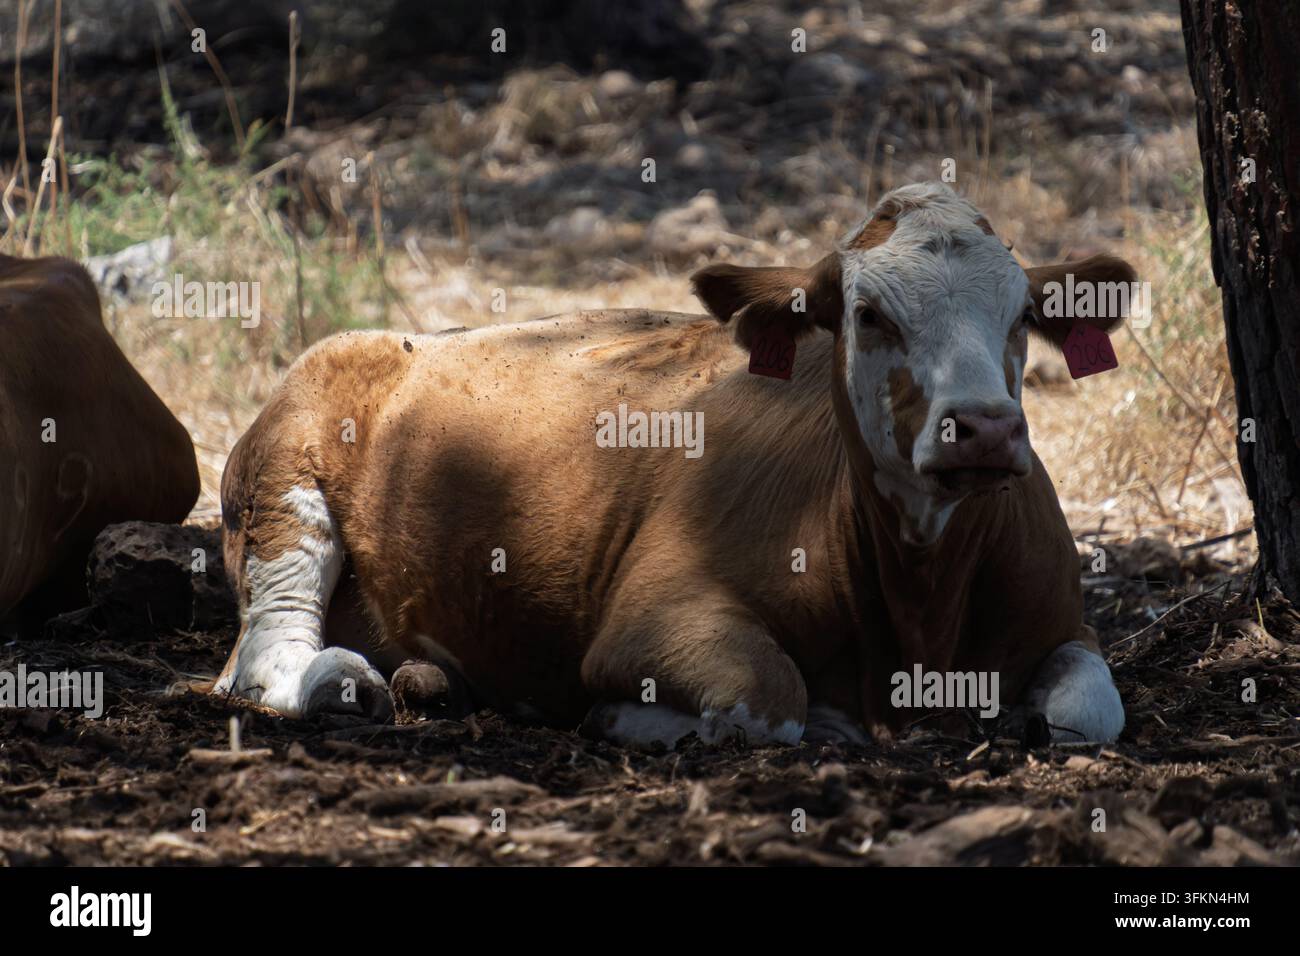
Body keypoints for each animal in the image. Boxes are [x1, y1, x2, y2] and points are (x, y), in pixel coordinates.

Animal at [211, 182, 1130, 747]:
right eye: (869, 315)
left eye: (1023, 317)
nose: (984, 429)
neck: (920, 612)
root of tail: (385, 337)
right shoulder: (655, 615)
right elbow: (769, 699)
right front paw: (627, 720)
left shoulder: (1065, 618)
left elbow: (1093, 707)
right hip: (280, 487)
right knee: (264, 654)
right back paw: (343, 682)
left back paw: (426, 681)